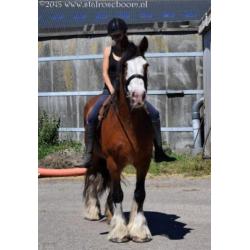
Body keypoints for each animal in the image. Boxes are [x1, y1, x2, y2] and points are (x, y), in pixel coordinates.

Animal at [83, 37, 153, 242]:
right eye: (124, 66)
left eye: (146, 65)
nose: (138, 96)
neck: (129, 124)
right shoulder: (114, 162)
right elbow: (118, 194)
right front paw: (120, 231)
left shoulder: (143, 163)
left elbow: (139, 193)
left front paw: (138, 230)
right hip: (96, 157)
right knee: (92, 176)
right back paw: (92, 210)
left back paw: (110, 214)